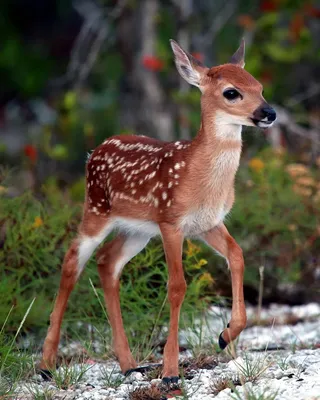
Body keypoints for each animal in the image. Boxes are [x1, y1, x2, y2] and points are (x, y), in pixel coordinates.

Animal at [39, 38, 276, 384]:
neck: (199, 176)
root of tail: (95, 150)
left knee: (107, 262)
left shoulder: (207, 223)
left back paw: (128, 364)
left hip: (137, 230)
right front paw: (170, 371)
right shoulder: (170, 221)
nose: (269, 112)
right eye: (231, 92)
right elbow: (177, 286)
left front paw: (225, 334)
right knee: (71, 262)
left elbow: (237, 255)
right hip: (96, 209)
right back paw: (45, 365)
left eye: (259, 87)